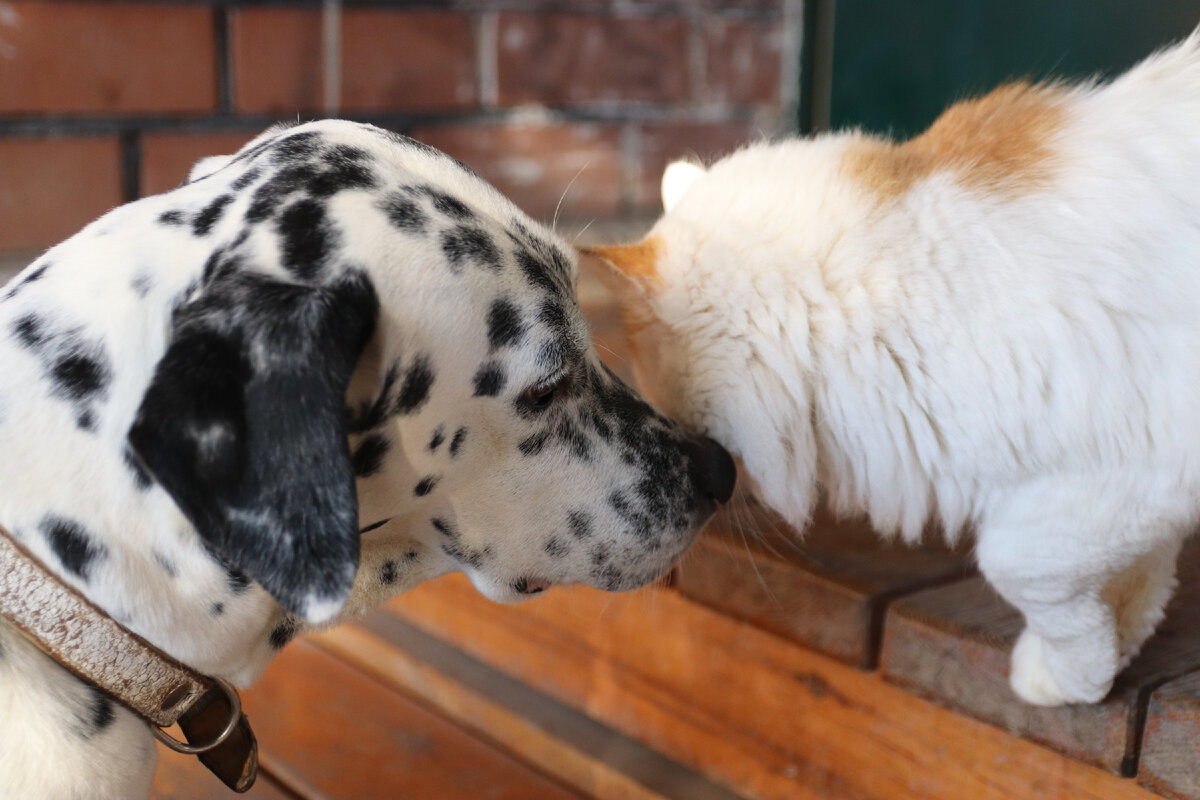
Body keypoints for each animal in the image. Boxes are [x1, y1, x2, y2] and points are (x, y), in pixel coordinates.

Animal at [585, 32, 1200, 705]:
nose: (714, 474)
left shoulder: (1131, 463)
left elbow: (1019, 565)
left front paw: (1066, 678)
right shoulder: (1122, 492)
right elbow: (1139, 578)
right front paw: (1113, 652)